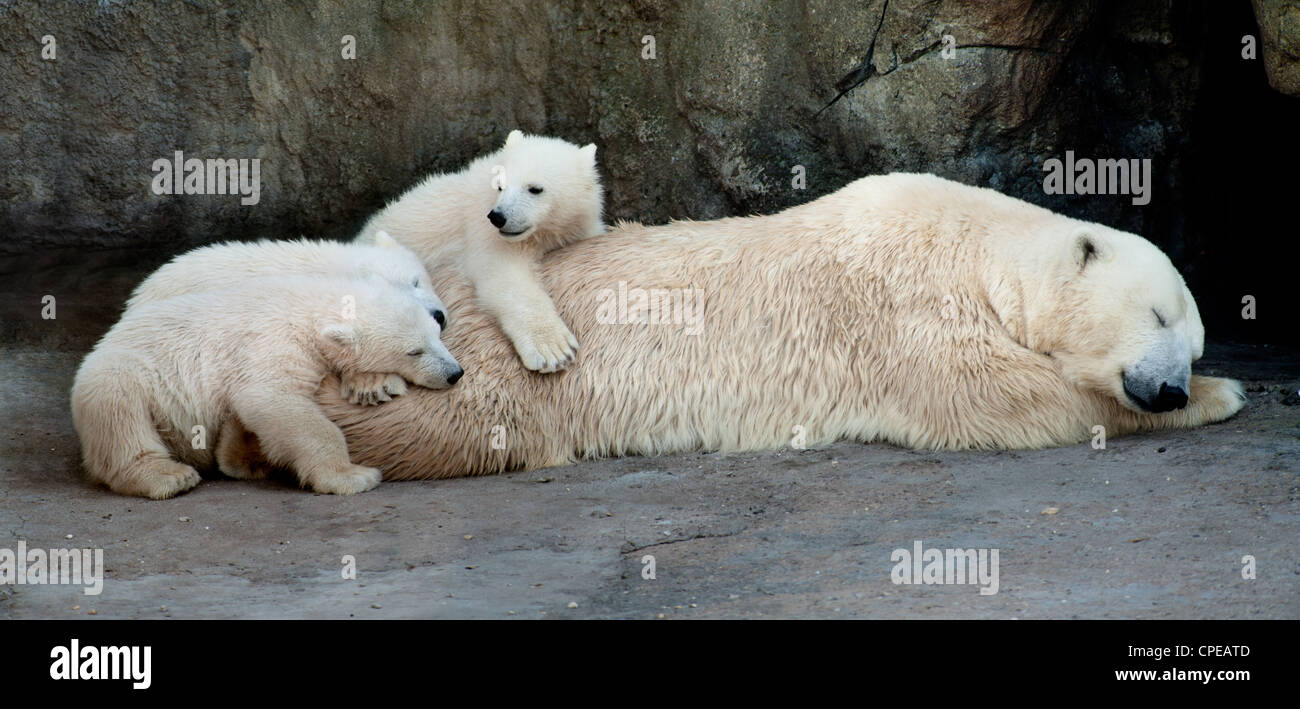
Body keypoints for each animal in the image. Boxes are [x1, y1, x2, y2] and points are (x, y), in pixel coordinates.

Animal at [319, 171, 1242, 481]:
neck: (979, 248)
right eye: (1158, 313)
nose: (1168, 386)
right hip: (476, 358)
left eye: (1188, 334)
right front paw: (1228, 393)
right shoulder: (906, 302)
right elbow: (997, 397)